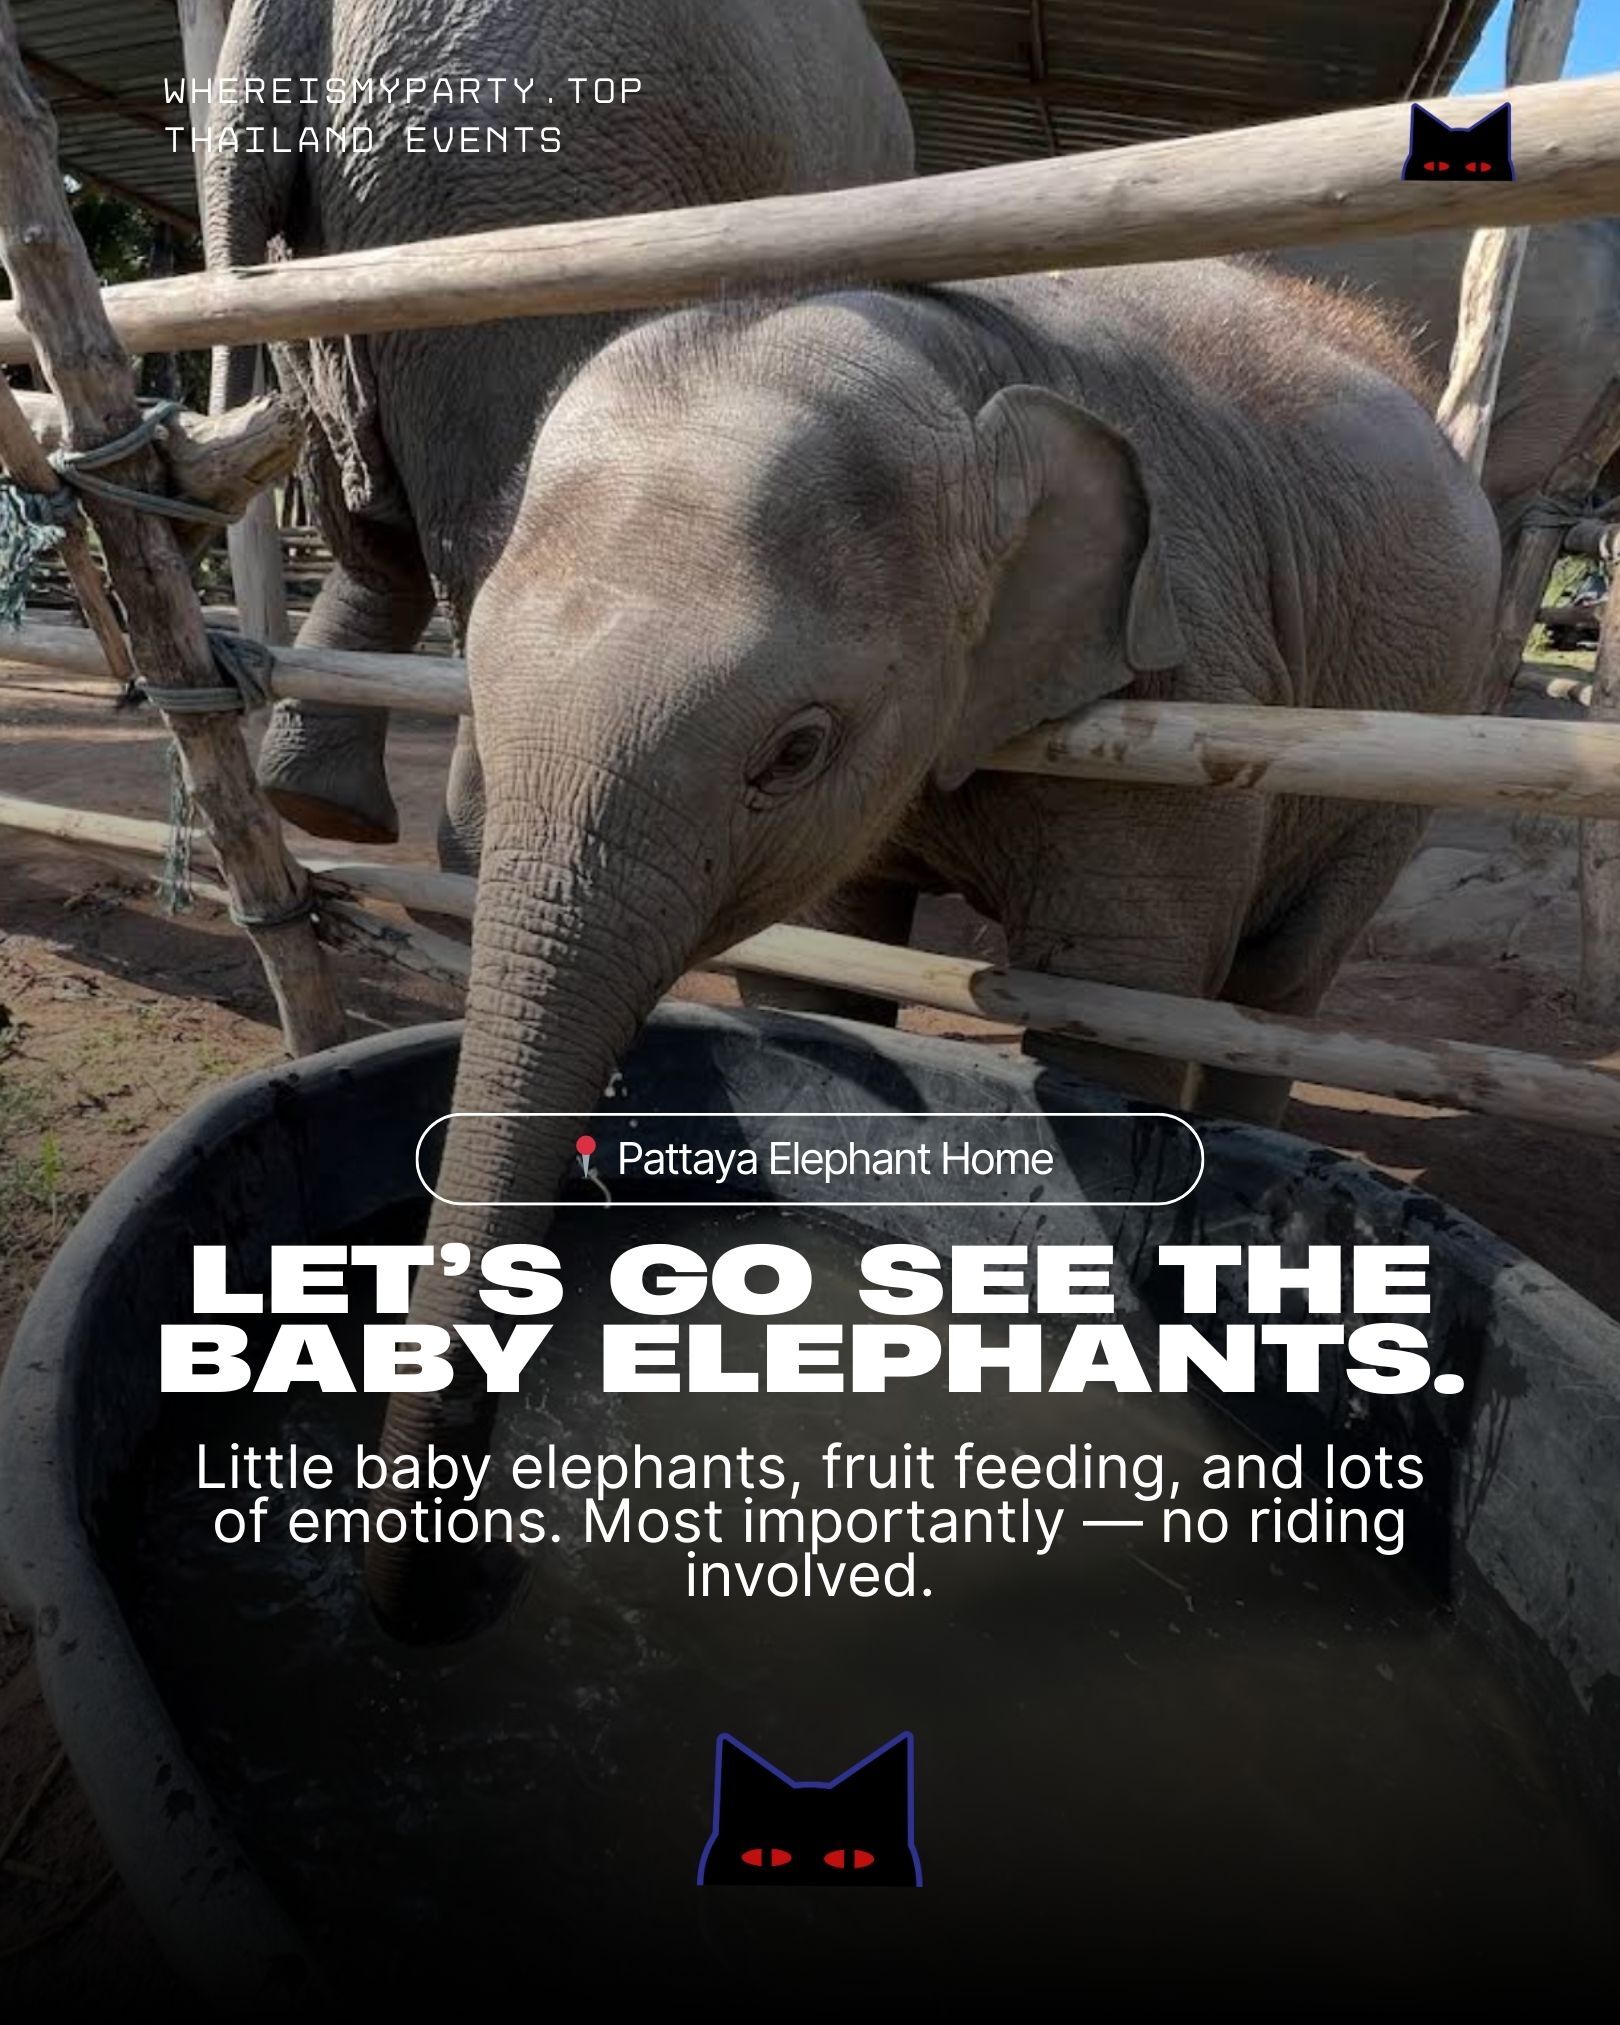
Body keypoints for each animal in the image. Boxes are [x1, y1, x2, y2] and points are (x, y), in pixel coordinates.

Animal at [367, 259, 1501, 1637]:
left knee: (1282, 977)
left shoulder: (1178, 676)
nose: (486, 1569)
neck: (956, 361)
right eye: (471, 687)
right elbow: (820, 961)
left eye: (794, 750)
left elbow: (1115, 998)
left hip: (1418, 728)